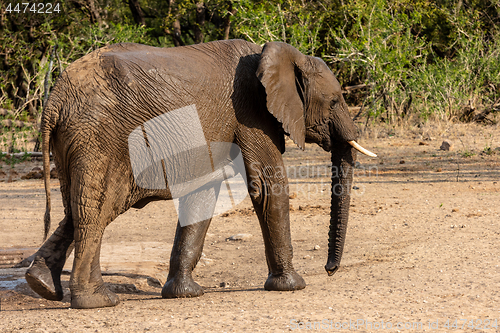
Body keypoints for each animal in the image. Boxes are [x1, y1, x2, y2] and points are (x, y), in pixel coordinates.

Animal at [24, 39, 376, 308]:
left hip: (74, 141)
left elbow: (203, 192)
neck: (276, 54)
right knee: (97, 212)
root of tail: (55, 98)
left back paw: (41, 284)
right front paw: (292, 285)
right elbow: (268, 184)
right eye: (335, 101)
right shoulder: (250, 112)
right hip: (100, 137)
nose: (329, 270)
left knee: (77, 208)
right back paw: (98, 301)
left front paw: (184, 294)